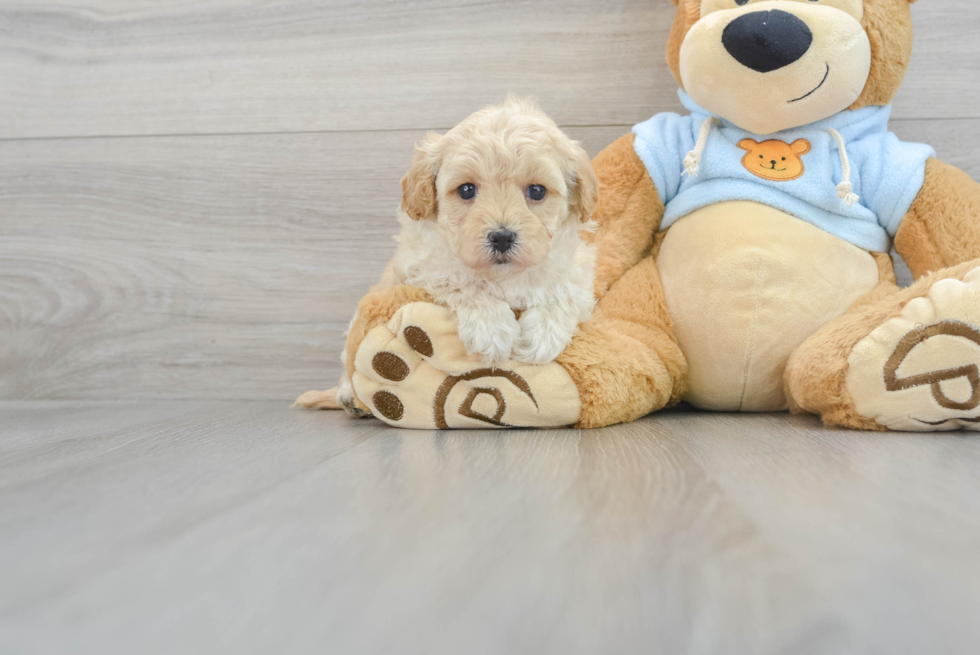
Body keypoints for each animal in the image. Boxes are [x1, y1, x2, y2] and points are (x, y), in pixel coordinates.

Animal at [296, 97, 596, 416]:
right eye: (466, 190)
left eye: (537, 191)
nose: (502, 236)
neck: (502, 276)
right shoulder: (425, 266)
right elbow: (463, 280)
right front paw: (492, 329)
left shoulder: (576, 270)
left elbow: (564, 291)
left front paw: (541, 337)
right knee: (348, 366)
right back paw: (349, 398)